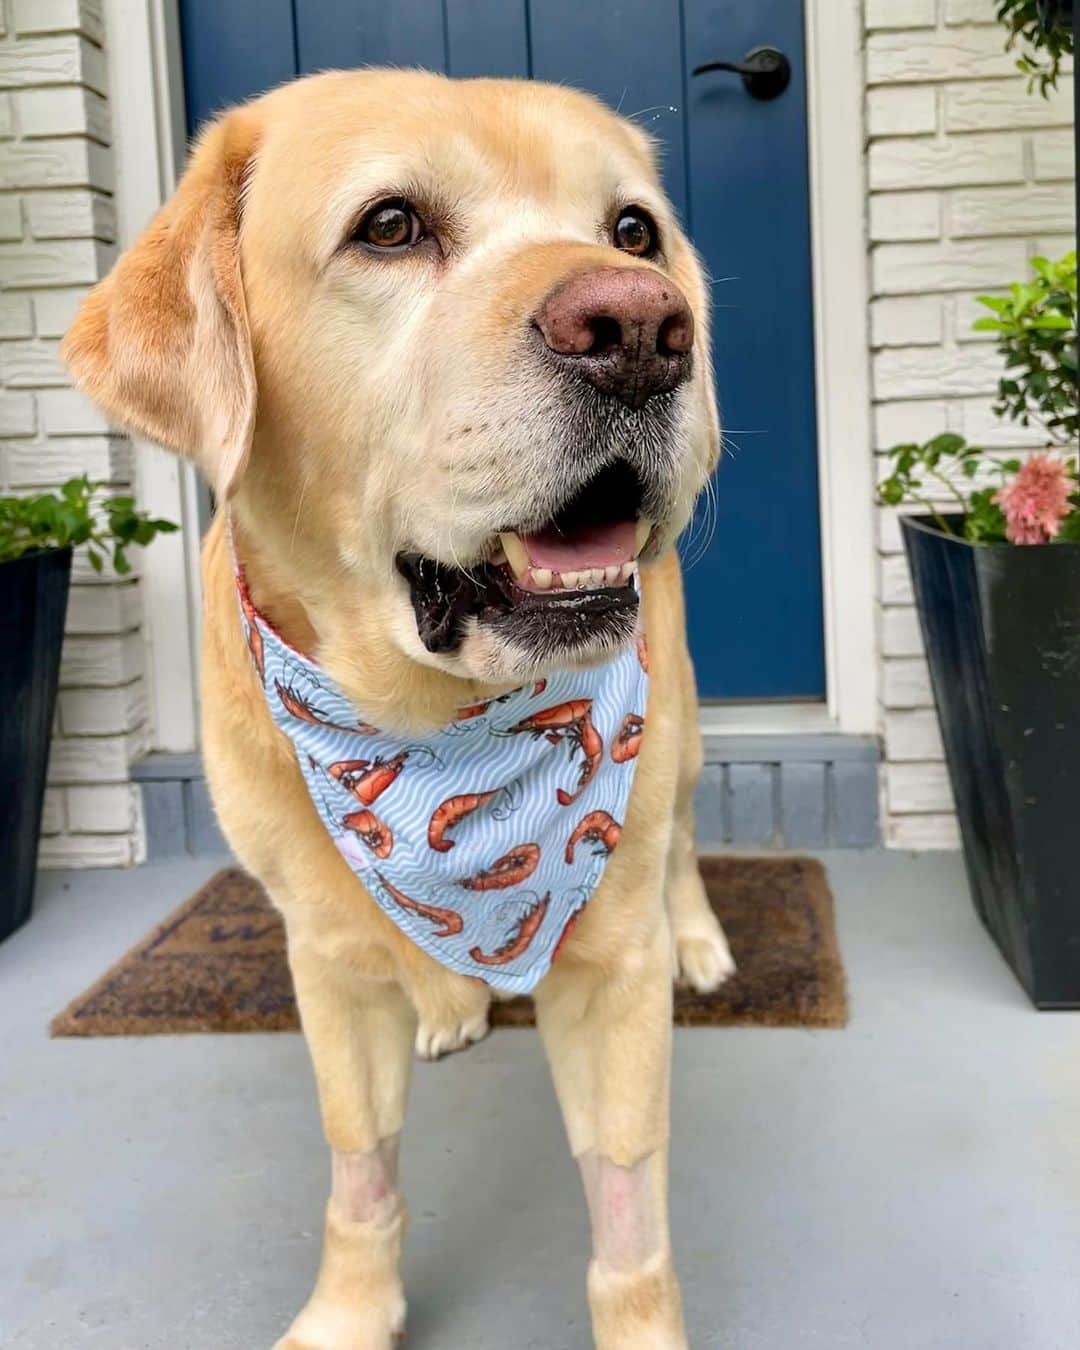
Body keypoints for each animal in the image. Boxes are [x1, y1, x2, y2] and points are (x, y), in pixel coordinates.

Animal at [65, 71, 734, 1350]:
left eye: (633, 230)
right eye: (390, 225)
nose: (642, 328)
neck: (431, 728)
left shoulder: (608, 974)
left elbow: (628, 1209)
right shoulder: (319, 960)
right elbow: (359, 1163)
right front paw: (350, 1311)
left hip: (673, 740)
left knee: (676, 839)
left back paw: (699, 938)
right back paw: (443, 997)